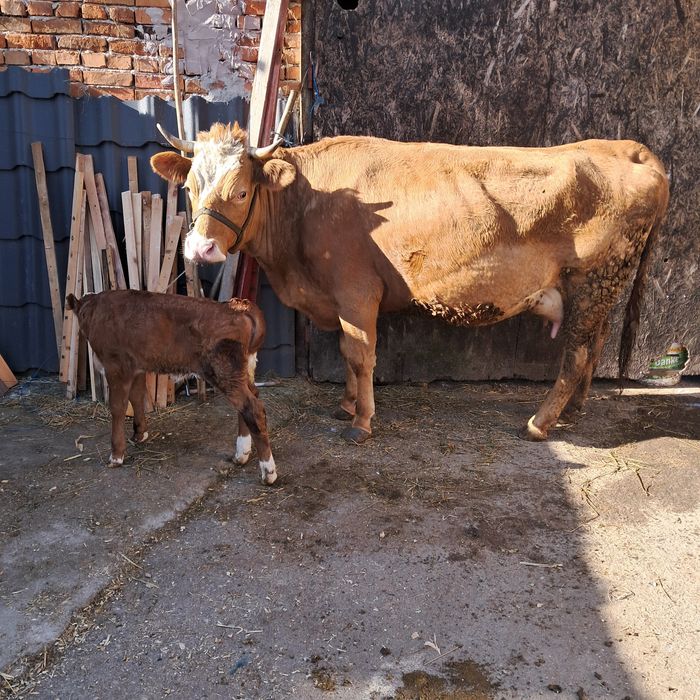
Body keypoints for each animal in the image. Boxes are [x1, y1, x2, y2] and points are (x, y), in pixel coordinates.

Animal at [66, 290, 277, 484]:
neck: (95, 311)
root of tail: (238, 307)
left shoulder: (117, 367)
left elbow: (118, 408)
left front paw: (116, 456)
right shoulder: (137, 367)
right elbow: (137, 397)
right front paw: (140, 434)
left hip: (224, 370)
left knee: (253, 408)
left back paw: (268, 472)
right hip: (242, 371)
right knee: (250, 400)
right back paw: (241, 455)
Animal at [151, 124, 669, 444]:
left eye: (240, 191)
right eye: (189, 188)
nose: (201, 249)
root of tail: (628, 148)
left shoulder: (356, 291)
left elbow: (360, 354)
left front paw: (361, 421)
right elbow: (347, 352)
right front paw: (346, 405)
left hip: (591, 281)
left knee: (577, 353)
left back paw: (540, 423)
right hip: (602, 289)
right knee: (595, 345)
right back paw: (575, 410)